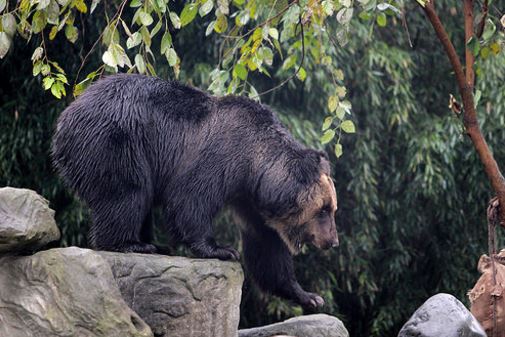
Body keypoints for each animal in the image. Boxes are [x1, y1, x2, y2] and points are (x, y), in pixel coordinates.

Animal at [52, 73, 338, 308]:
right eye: (323, 210)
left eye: (331, 209)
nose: (332, 241)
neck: (255, 166)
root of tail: (66, 116)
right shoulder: (221, 156)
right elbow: (191, 199)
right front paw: (222, 249)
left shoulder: (251, 200)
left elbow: (267, 246)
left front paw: (308, 296)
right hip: (117, 141)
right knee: (127, 193)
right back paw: (132, 243)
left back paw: (151, 243)